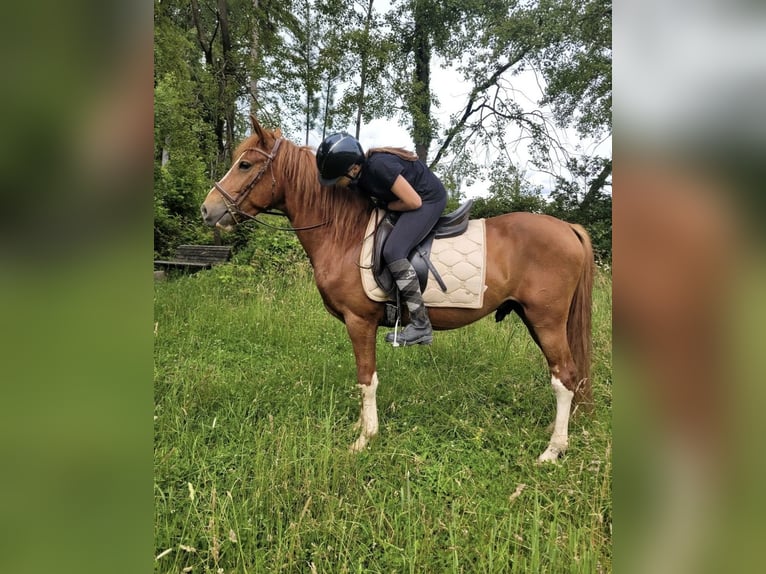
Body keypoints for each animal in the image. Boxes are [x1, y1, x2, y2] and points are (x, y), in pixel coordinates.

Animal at [201, 116, 594, 462]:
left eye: (245, 165)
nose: (207, 210)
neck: (344, 233)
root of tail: (568, 228)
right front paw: (362, 428)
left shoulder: (359, 321)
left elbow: (366, 380)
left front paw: (365, 438)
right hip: (534, 319)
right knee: (564, 376)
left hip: (546, 320)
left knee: (564, 377)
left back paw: (553, 449)